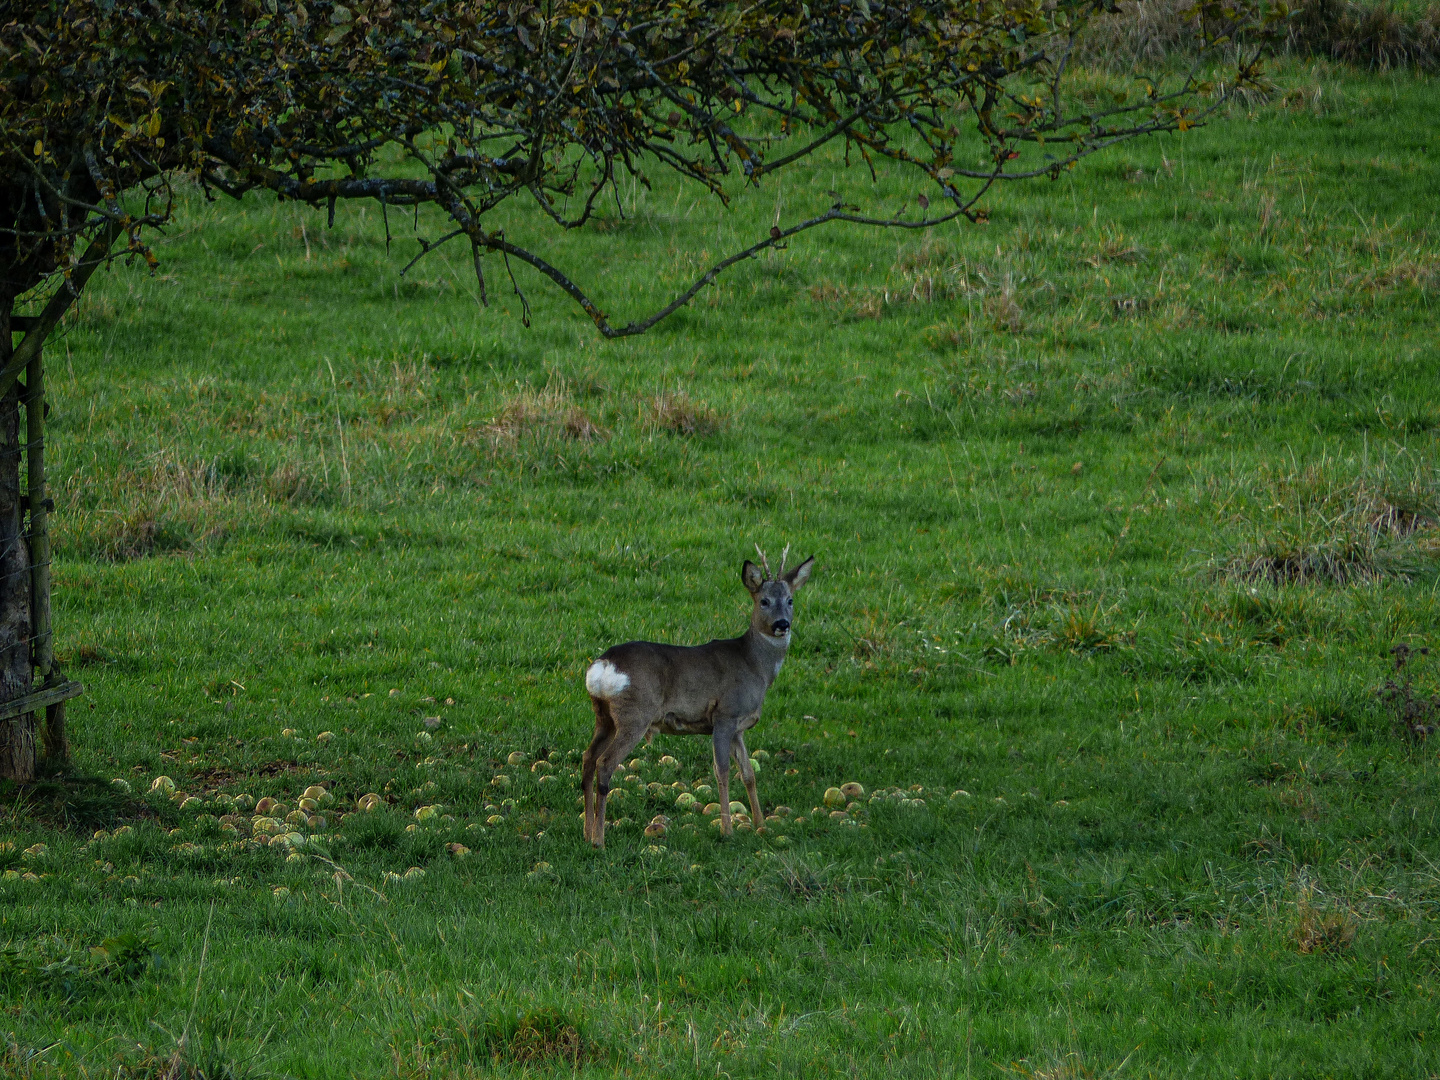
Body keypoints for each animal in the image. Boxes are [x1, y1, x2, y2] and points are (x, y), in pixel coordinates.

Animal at [581, 550, 812, 846]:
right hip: (635, 714)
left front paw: (761, 824)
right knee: (605, 764)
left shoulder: (739, 726)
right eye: (764, 601)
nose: (782, 624)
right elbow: (721, 771)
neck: (754, 665)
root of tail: (601, 667)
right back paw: (598, 839)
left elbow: (748, 774)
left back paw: (587, 831)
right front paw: (727, 830)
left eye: (790, 600)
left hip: (604, 716)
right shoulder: (725, 714)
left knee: (588, 758)